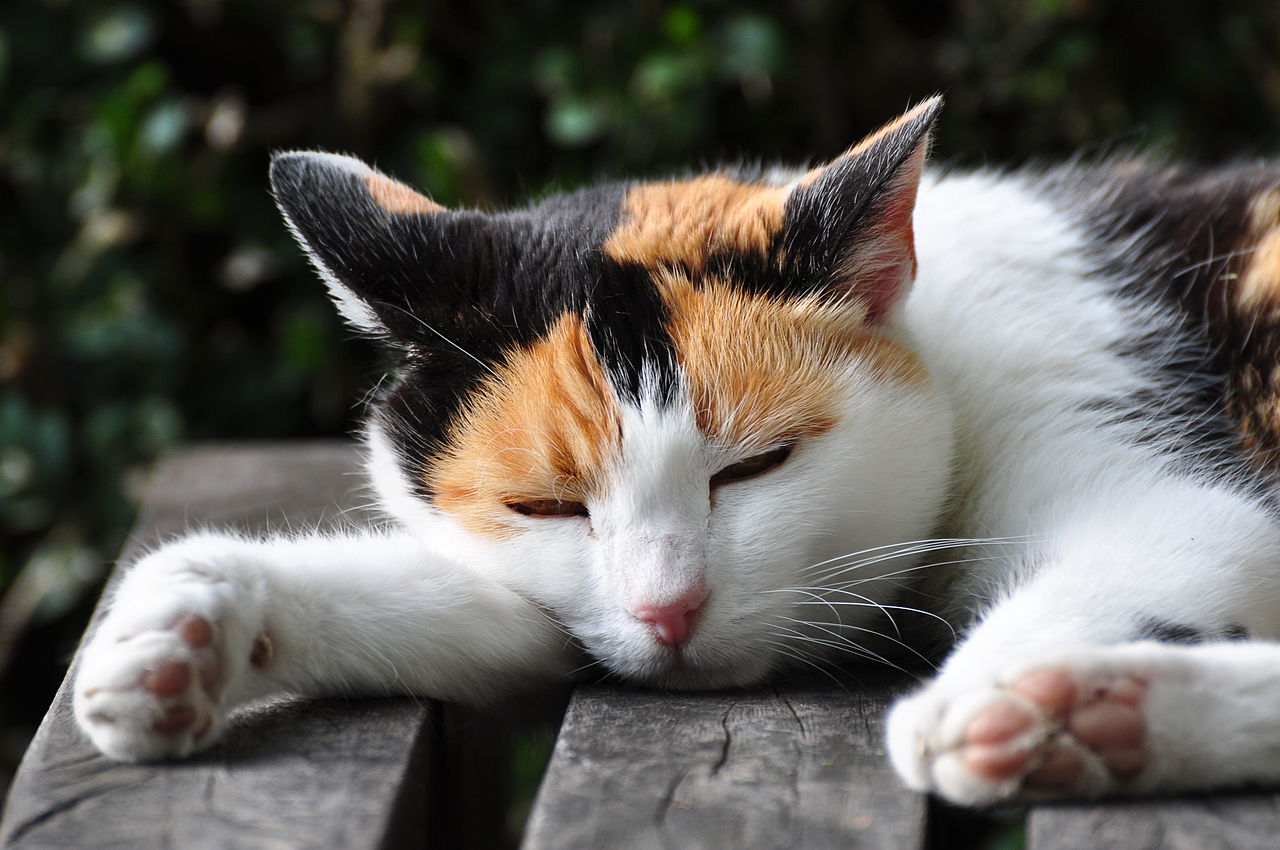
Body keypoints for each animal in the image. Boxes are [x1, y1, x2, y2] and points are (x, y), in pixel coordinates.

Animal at [72, 96, 1280, 809]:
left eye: (755, 466)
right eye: (546, 508)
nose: (668, 610)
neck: (943, 342)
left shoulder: (1150, 469)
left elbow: (1172, 540)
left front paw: (994, 703)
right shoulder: (551, 610)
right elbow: (459, 609)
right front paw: (183, 628)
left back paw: (1071, 709)